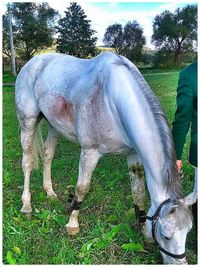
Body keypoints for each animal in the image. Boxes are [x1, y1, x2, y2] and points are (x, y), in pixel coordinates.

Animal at [15, 51, 195, 264]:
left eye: (188, 231)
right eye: (166, 235)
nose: (180, 263)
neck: (112, 101)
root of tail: (34, 61)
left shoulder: (133, 156)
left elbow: (138, 194)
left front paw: (143, 232)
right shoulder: (90, 152)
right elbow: (82, 188)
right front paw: (72, 224)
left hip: (53, 124)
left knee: (48, 155)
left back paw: (50, 192)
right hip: (28, 121)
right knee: (27, 162)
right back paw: (26, 205)